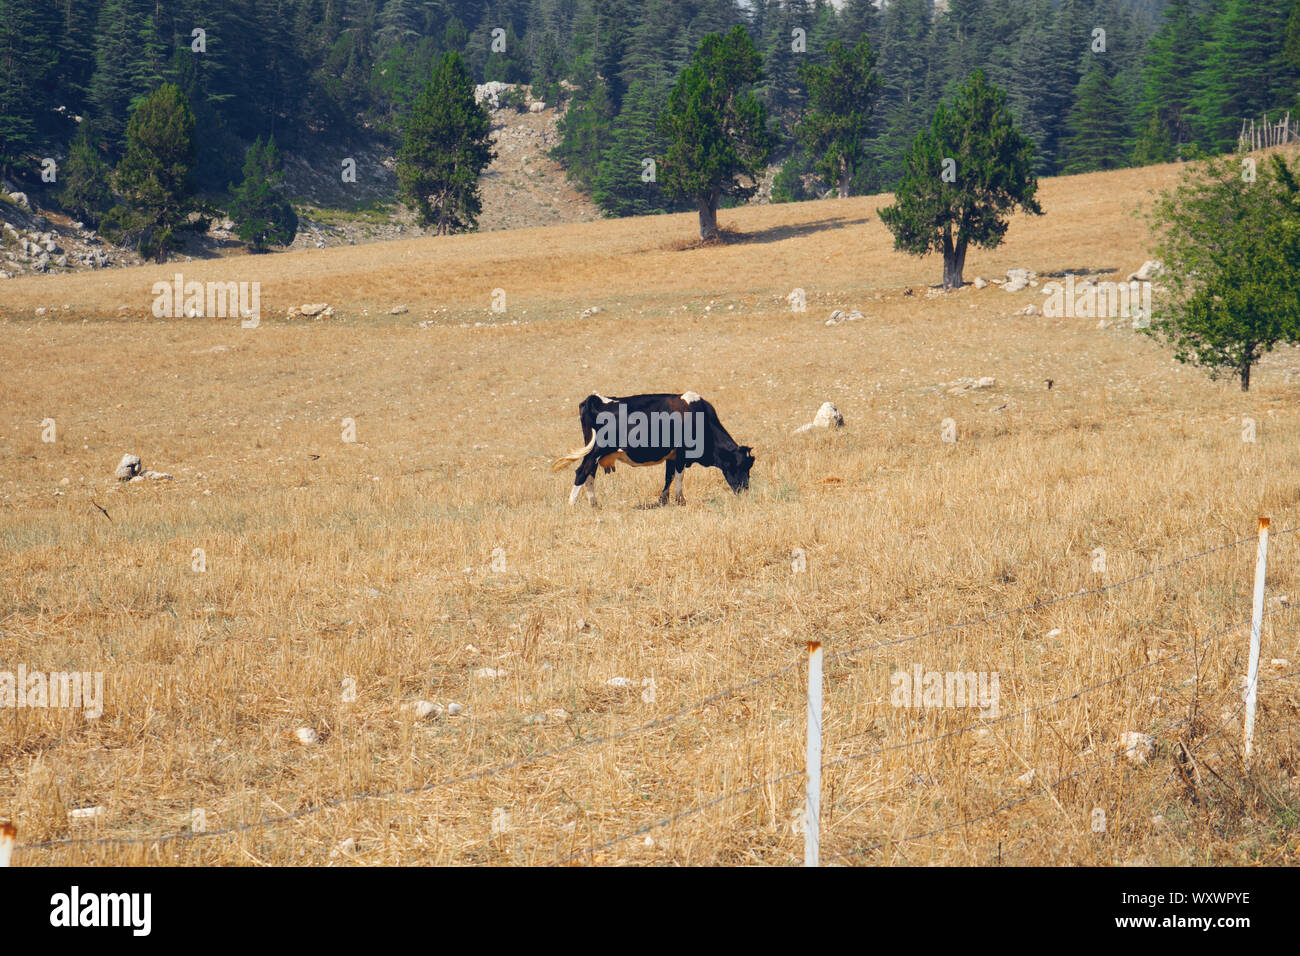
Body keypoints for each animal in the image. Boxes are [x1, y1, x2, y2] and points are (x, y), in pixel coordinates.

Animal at [551, 391, 755, 507]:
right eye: (741, 466)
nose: (745, 490)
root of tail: (596, 398)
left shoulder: (672, 455)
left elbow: (668, 476)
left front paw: (664, 500)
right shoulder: (682, 453)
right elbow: (679, 476)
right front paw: (680, 500)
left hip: (594, 453)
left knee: (590, 474)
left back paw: (594, 504)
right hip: (596, 450)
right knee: (581, 473)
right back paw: (572, 504)